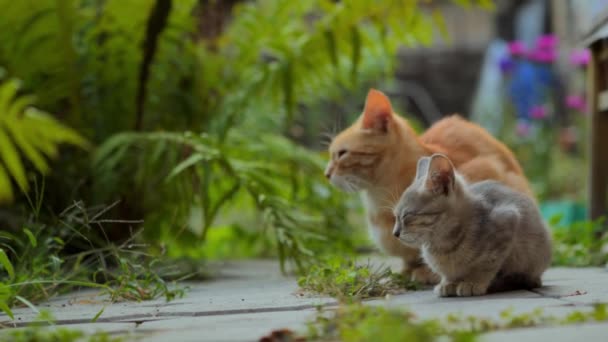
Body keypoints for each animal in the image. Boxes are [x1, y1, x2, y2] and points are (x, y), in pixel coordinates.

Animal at [392, 154, 552, 296]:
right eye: (395, 216)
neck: (444, 244)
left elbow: (486, 265)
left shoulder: (507, 220)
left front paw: (474, 282)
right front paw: (448, 283)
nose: (395, 233)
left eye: (406, 216)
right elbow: (450, 274)